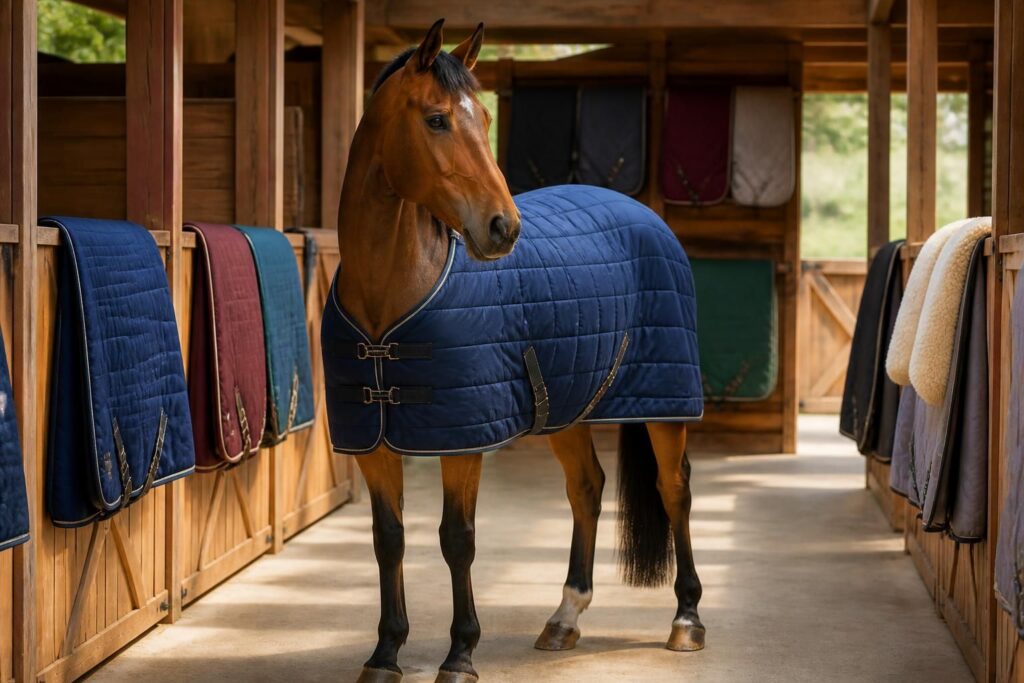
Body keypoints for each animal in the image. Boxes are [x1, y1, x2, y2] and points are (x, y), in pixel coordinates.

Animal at [327, 19, 705, 683]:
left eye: (483, 117)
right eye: (436, 119)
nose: (504, 228)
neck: (390, 298)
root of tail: (646, 215)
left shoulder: (463, 439)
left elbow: (457, 538)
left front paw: (460, 654)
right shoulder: (373, 439)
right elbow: (388, 538)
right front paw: (386, 653)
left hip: (665, 402)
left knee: (673, 489)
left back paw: (685, 620)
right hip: (568, 407)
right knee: (587, 487)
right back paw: (564, 618)